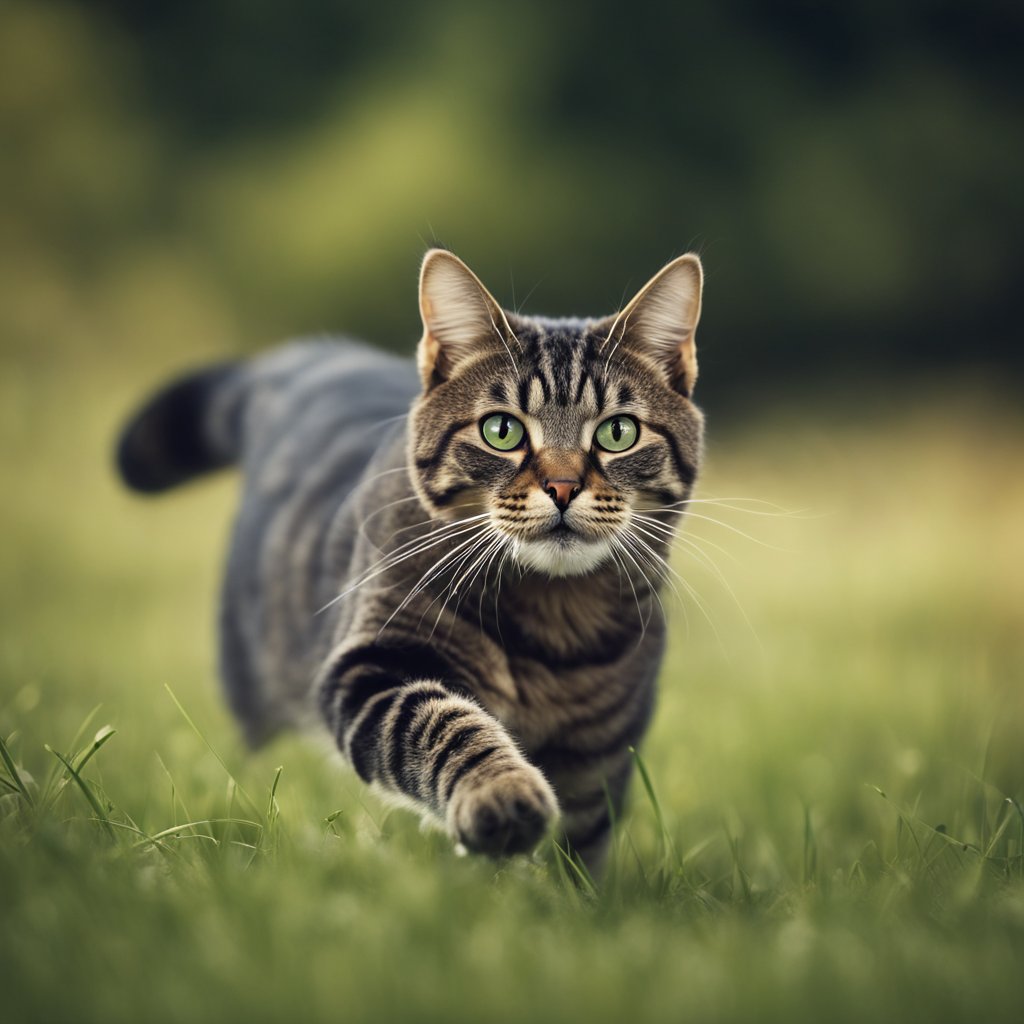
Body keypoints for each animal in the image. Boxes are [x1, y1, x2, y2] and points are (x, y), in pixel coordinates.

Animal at [114, 249, 704, 872]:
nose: (563, 487)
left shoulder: (608, 742)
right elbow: (446, 724)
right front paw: (502, 796)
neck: (554, 618)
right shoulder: (374, 662)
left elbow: (584, 834)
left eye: (618, 432)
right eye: (502, 430)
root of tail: (310, 361)